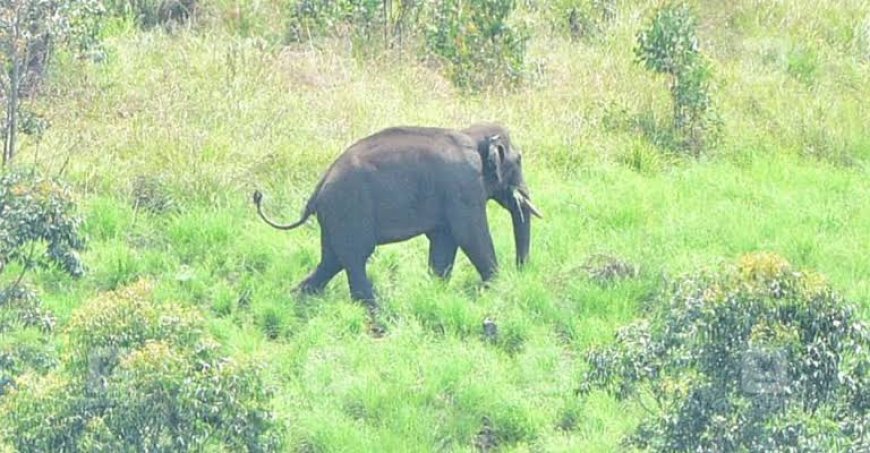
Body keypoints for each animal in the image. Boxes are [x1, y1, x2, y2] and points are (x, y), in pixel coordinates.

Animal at [252, 123, 540, 308]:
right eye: (519, 160)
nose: (521, 270)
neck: (472, 134)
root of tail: (318, 189)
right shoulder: (464, 188)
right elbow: (470, 235)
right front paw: (496, 288)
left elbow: (444, 241)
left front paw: (434, 292)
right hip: (349, 210)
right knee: (355, 258)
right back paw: (375, 312)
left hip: (336, 217)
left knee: (332, 260)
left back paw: (297, 298)